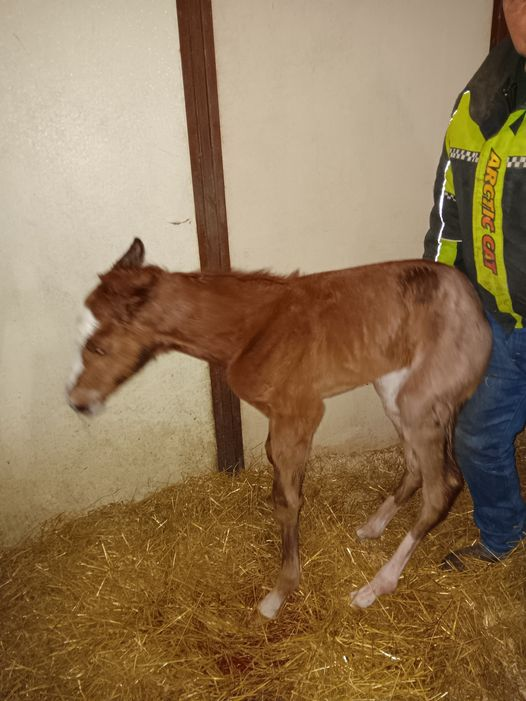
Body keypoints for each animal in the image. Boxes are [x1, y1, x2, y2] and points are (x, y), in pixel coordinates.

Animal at [67, 238, 491, 618]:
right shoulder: (281, 418)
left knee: (443, 487)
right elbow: (277, 478)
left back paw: (375, 587)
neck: (252, 328)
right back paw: (373, 527)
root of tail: (476, 309)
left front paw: (280, 593)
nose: (77, 402)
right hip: (392, 390)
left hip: (418, 403)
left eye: (99, 346)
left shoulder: (299, 412)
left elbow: (287, 501)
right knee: (417, 466)